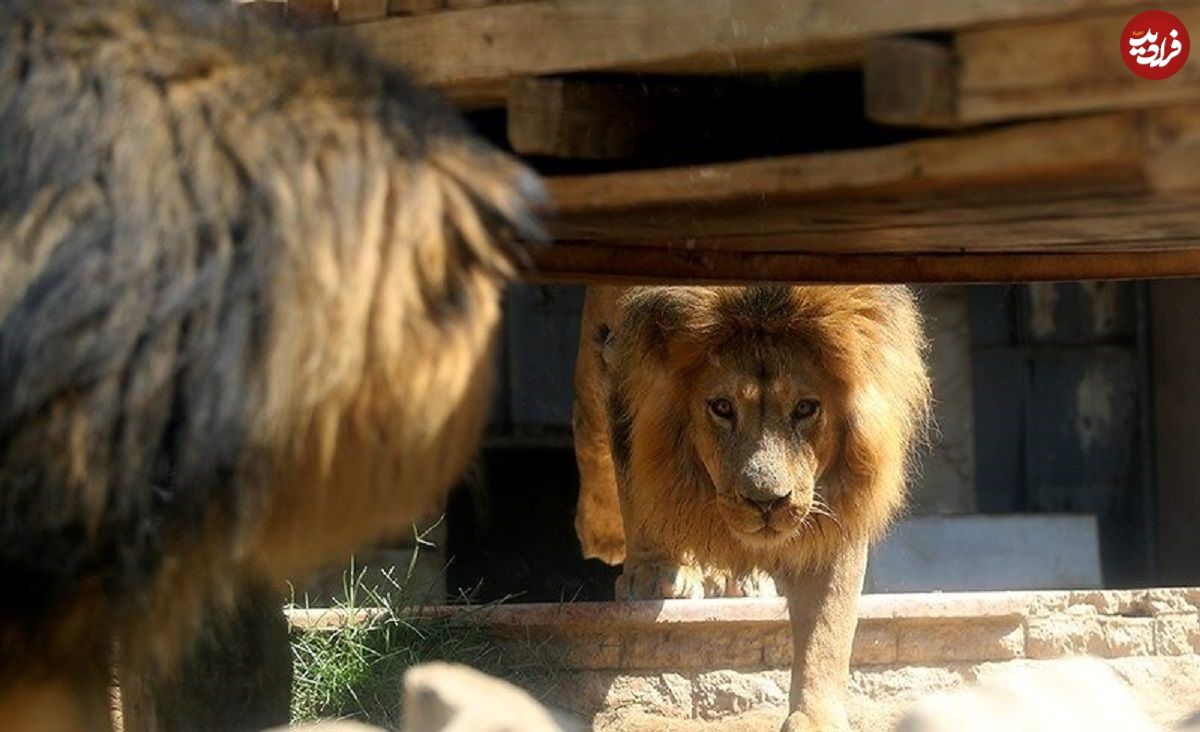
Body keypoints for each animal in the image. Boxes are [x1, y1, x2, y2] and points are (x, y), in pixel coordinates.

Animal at [571, 285, 926, 729]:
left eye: (805, 408)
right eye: (722, 407)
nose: (765, 501)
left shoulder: (837, 500)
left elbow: (828, 623)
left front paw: (816, 718)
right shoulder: (625, 360)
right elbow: (639, 477)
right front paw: (653, 572)